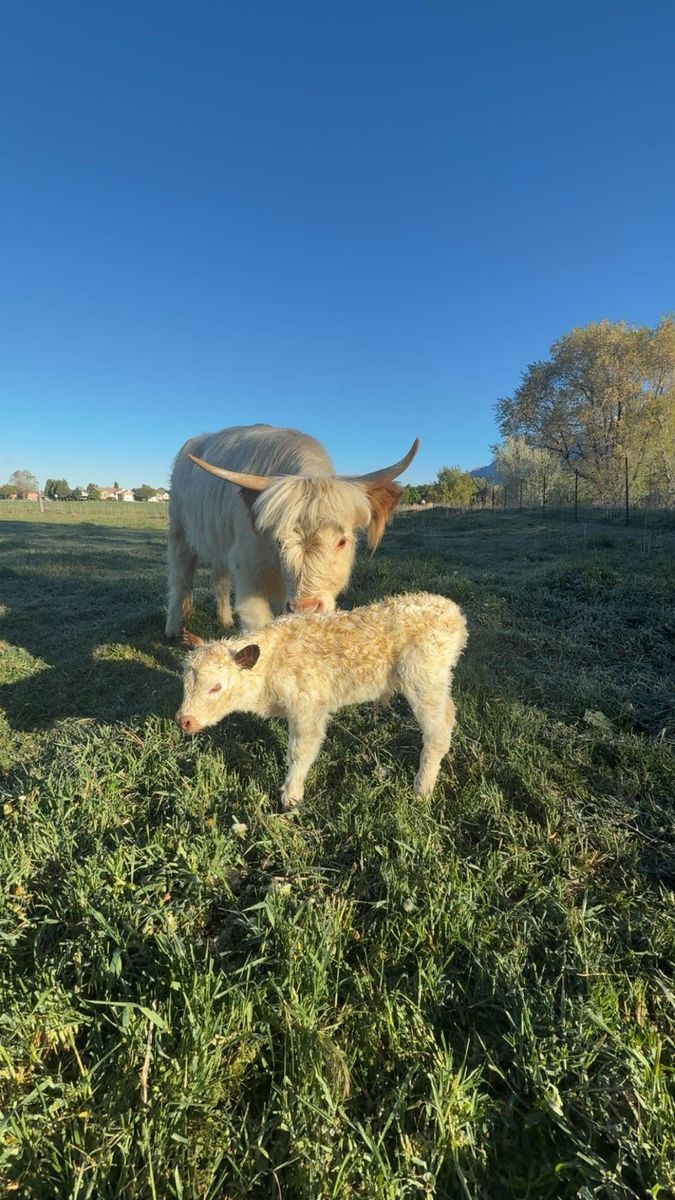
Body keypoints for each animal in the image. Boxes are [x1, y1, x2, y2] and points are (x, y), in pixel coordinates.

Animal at [165, 424, 418, 639]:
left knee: (220, 579)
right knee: (180, 580)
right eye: (278, 541)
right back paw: (173, 630)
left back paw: (225, 619)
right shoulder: (247, 571)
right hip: (179, 533)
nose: (305, 608)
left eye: (341, 542)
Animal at [176, 592, 468, 808]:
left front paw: (291, 795)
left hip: (423, 682)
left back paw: (422, 789)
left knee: (437, 731)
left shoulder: (308, 710)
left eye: (215, 687)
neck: (272, 662)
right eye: (185, 684)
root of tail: (452, 611)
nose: (184, 721)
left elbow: (300, 751)